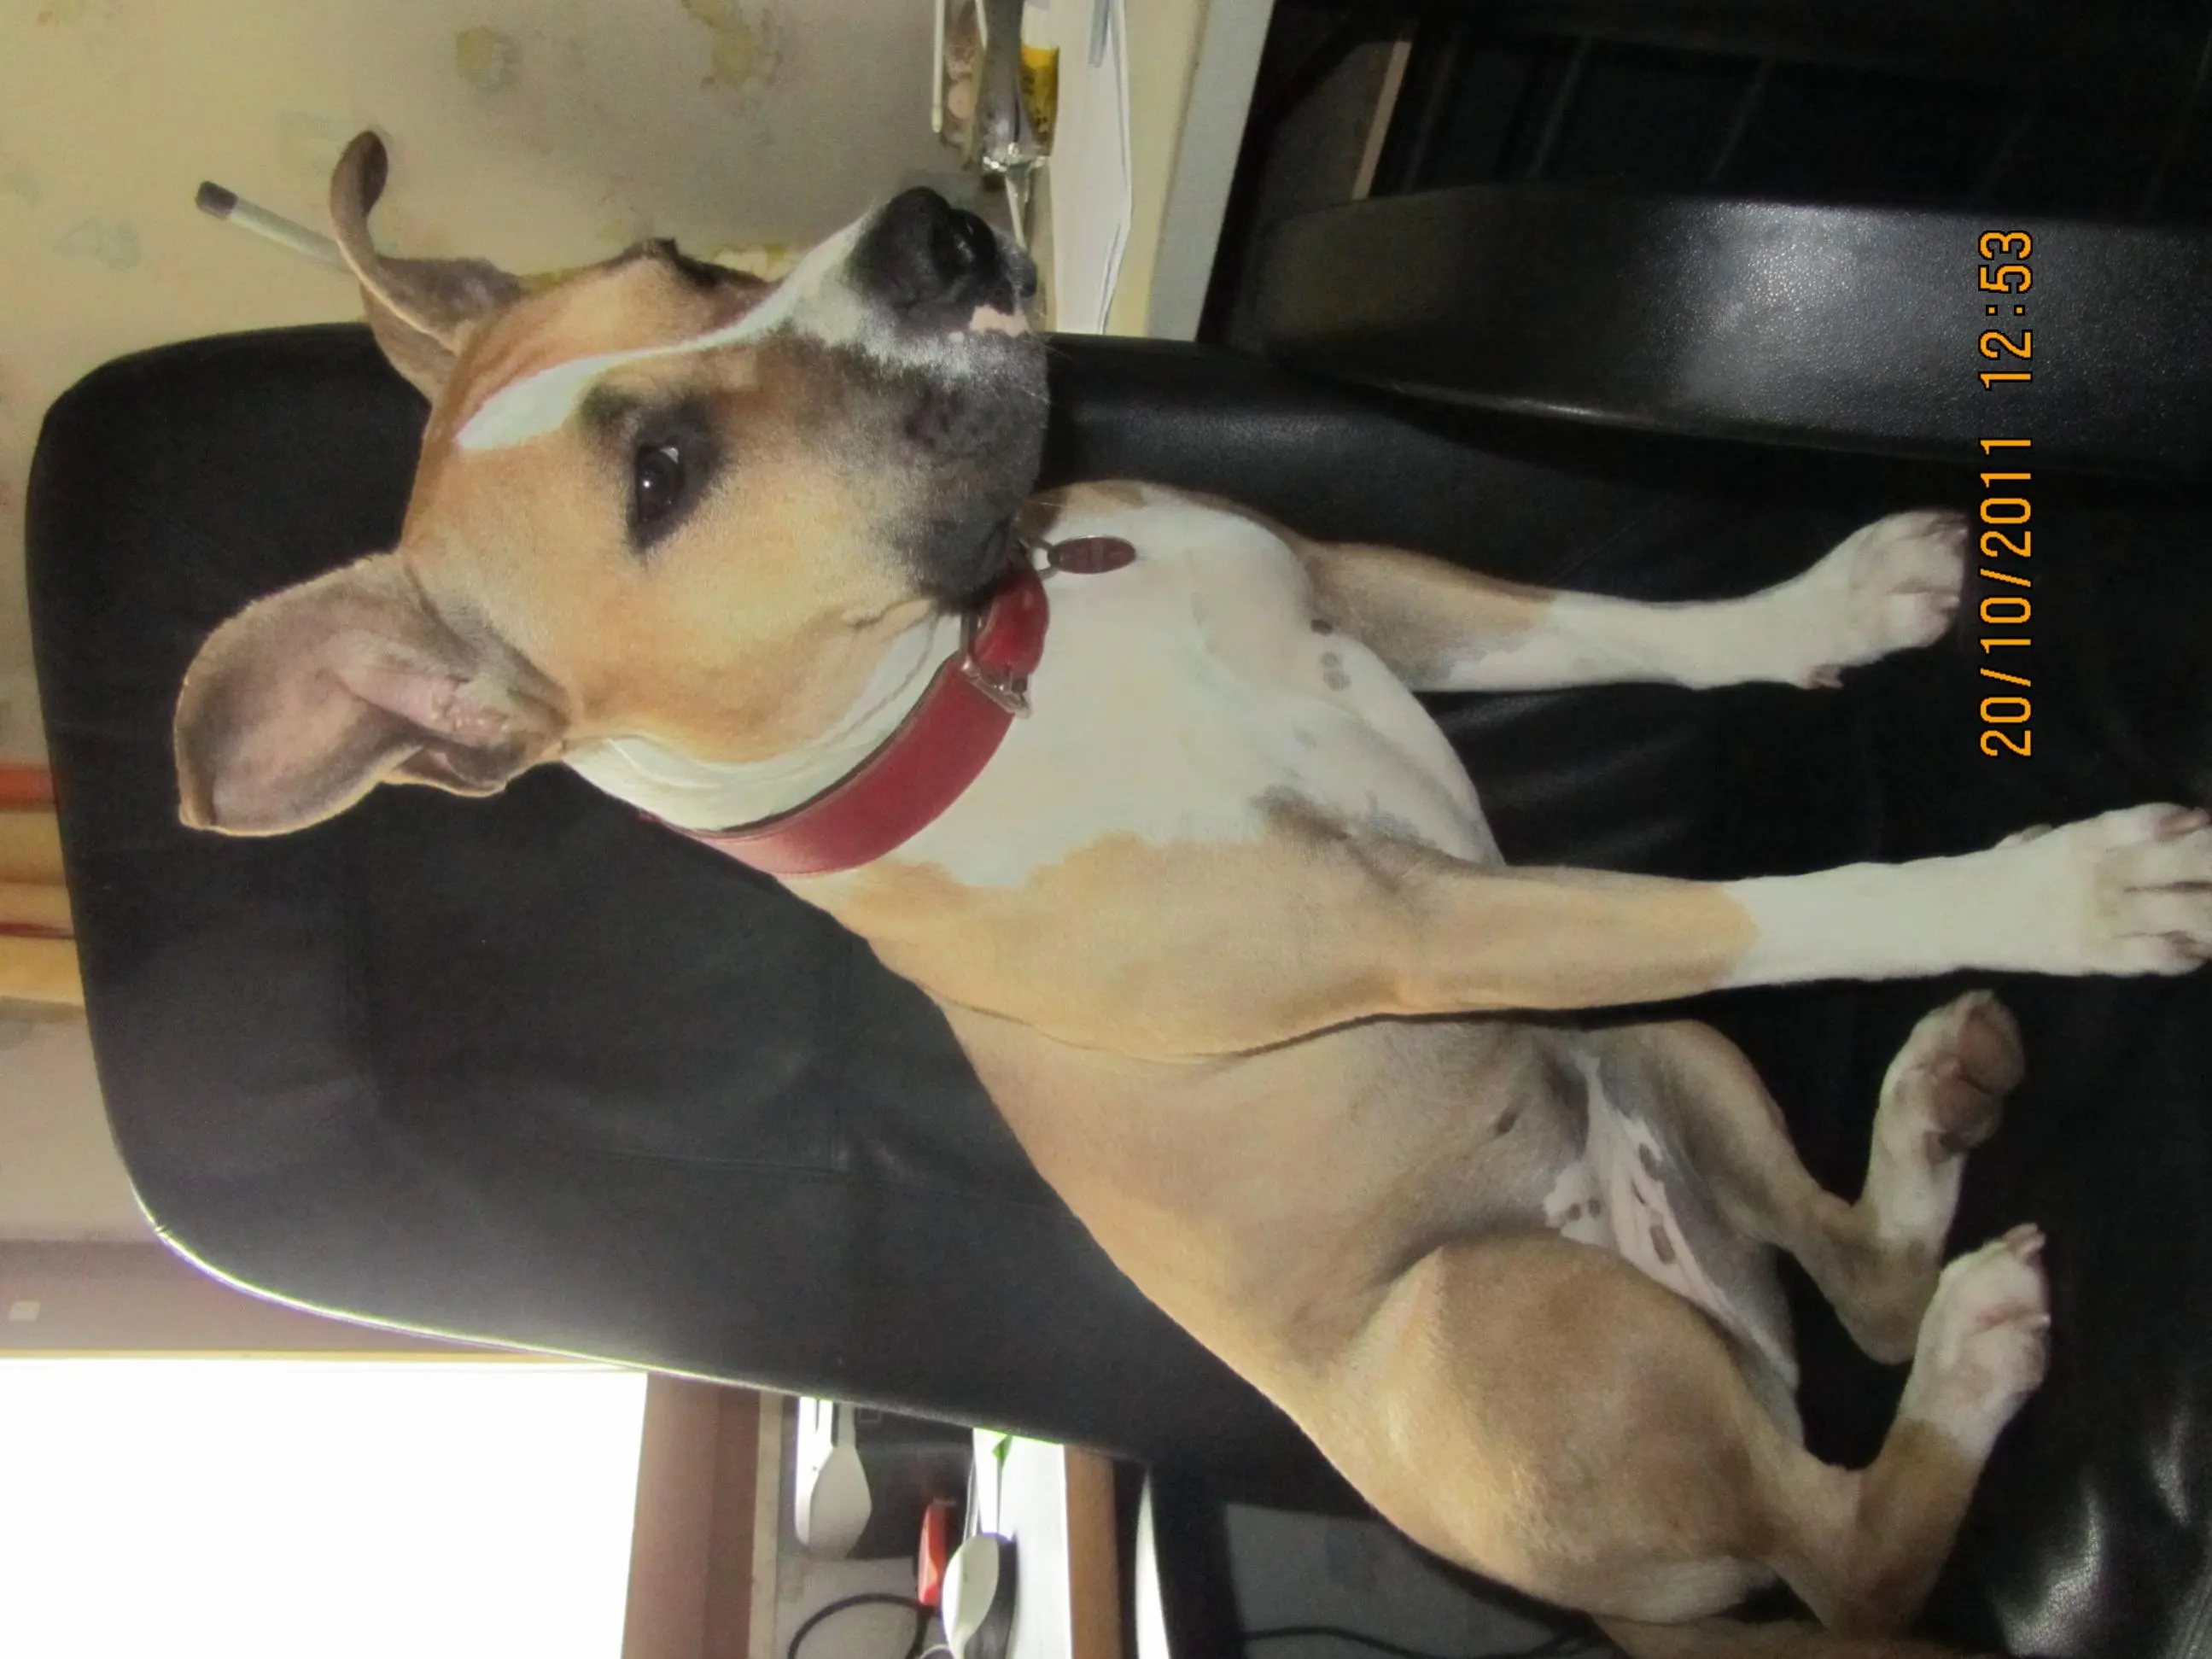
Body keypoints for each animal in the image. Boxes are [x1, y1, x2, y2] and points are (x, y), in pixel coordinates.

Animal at [172, 134, 2212, 1657]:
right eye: (664, 479)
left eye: (677, 254)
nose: (926, 231)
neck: (996, 667)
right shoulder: (1417, 922)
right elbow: (1780, 901)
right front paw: (2075, 889)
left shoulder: (1358, 583)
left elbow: (1613, 621)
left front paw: (1830, 603)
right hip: (1497, 1312)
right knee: (1850, 1545)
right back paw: (1971, 1349)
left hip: (1661, 1056)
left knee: (1856, 1292)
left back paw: (1927, 1122)